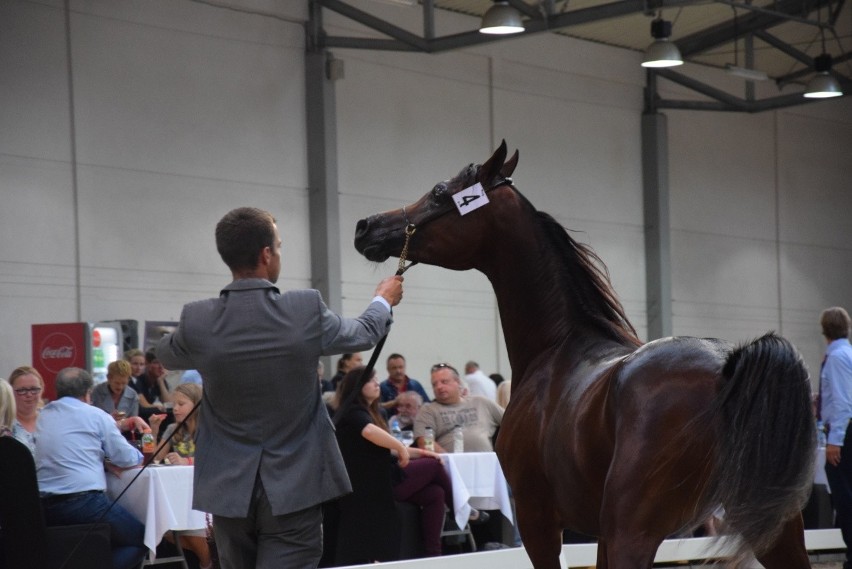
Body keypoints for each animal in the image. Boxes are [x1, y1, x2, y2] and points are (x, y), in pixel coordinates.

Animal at [354, 140, 820, 564]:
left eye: (438, 192)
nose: (365, 226)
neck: (556, 349)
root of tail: (731, 367)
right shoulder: (597, 534)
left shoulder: (539, 520)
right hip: (775, 530)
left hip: (633, 530)